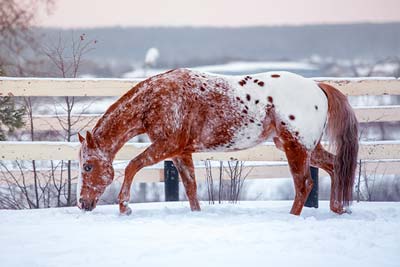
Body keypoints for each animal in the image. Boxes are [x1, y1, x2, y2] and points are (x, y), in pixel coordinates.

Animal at [76, 68, 358, 216]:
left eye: (87, 166)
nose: (82, 203)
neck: (156, 99)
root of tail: (318, 87)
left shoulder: (166, 146)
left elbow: (132, 166)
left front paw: (124, 206)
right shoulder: (180, 152)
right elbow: (190, 187)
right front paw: (196, 213)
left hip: (296, 148)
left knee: (304, 184)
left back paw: (294, 217)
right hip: (308, 149)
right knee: (335, 166)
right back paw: (338, 208)